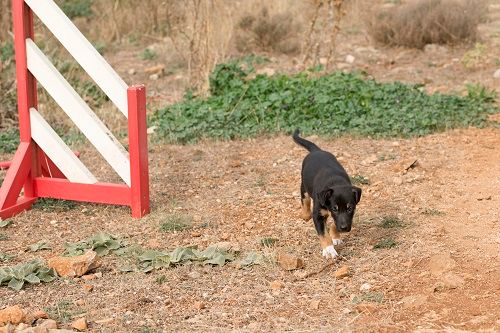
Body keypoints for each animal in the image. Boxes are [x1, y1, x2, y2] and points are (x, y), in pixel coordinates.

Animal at [292, 128, 362, 258]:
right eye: (334, 208)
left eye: (350, 208)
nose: (344, 228)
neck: (335, 183)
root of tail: (317, 151)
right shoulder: (318, 215)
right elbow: (323, 234)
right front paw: (329, 250)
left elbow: (334, 223)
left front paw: (336, 237)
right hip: (304, 186)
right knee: (305, 200)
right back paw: (305, 215)